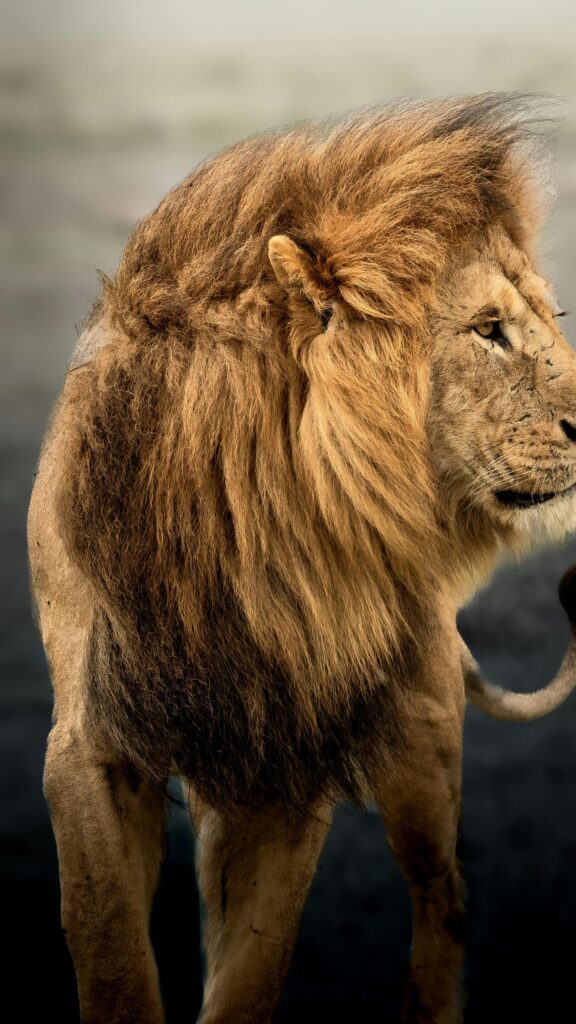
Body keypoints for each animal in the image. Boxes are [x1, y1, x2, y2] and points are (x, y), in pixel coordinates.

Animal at [27, 94, 576, 1024]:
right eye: (489, 331)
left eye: (545, 320)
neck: (246, 528)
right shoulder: (92, 747)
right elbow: (114, 964)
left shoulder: (287, 761)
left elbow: (250, 973)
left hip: (420, 734)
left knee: (445, 897)